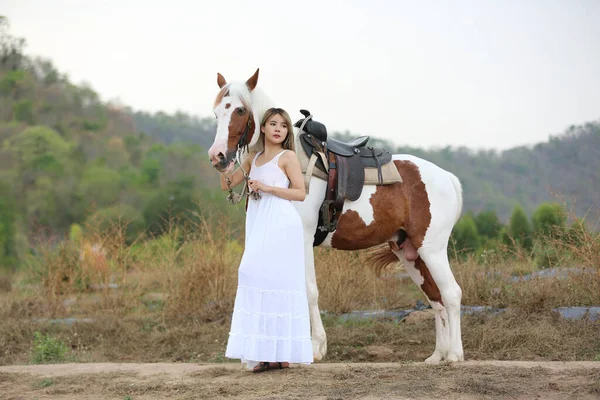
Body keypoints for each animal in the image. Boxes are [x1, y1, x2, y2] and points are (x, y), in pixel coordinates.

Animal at [206, 69, 464, 366]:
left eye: (239, 110)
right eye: (216, 113)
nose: (217, 156)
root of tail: (447, 177)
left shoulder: (303, 238)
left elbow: (309, 290)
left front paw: (316, 348)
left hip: (431, 249)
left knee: (451, 294)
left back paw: (455, 355)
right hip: (409, 252)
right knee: (435, 298)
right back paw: (437, 355)